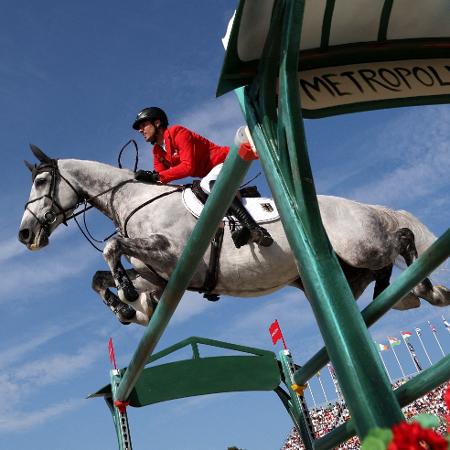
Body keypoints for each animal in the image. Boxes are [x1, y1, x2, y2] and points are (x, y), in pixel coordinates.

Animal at [18, 146, 450, 326]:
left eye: (41, 181)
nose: (25, 234)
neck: (134, 200)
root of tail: (368, 207)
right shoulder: (158, 276)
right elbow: (98, 277)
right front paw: (126, 307)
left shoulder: (172, 255)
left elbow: (110, 247)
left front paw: (125, 297)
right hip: (351, 270)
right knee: (387, 277)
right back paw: (413, 293)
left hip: (361, 245)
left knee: (403, 238)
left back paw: (428, 288)